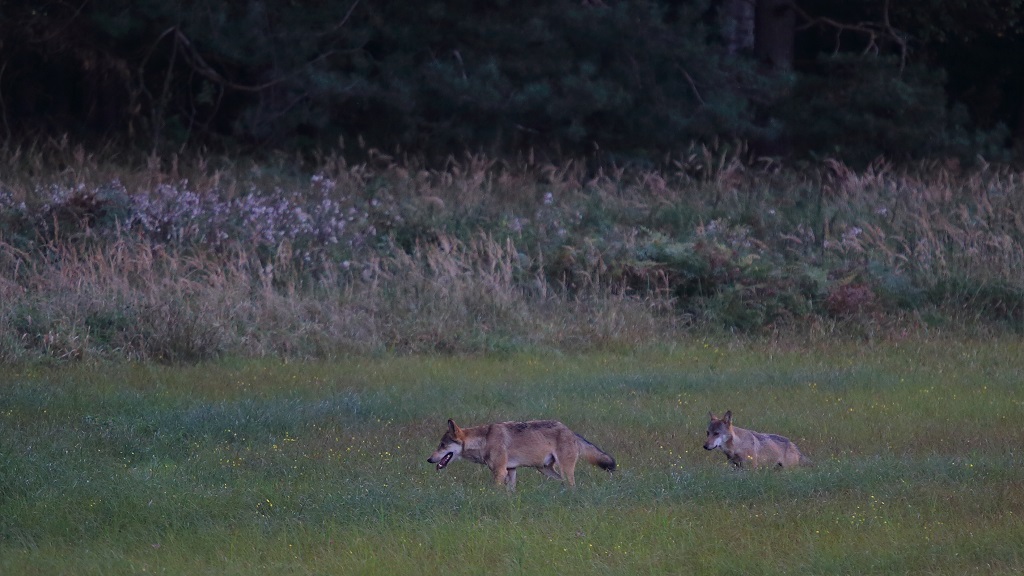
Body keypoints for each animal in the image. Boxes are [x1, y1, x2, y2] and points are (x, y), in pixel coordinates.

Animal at [427, 419, 616, 490]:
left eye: (442, 445)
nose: (429, 459)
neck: (484, 440)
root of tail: (571, 431)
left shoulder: (500, 472)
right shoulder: (511, 471)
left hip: (563, 470)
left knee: (572, 486)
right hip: (545, 470)